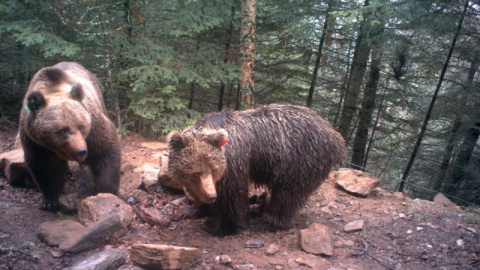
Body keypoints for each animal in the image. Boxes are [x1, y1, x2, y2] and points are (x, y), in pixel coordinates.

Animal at [19, 61, 122, 211]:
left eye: (81, 125)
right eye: (62, 130)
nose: (81, 151)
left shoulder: (93, 129)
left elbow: (105, 149)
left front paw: (106, 192)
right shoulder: (36, 143)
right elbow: (43, 166)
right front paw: (50, 200)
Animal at [169, 104, 344, 235]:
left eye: (213, 170)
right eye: (195, 174)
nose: (211, 196)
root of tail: (335, 136)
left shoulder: (234, 164)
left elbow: (232, 197)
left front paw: (220, 226)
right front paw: (192, 209)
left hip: (298, 161)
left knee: (288, 195)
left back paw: (269, 220)